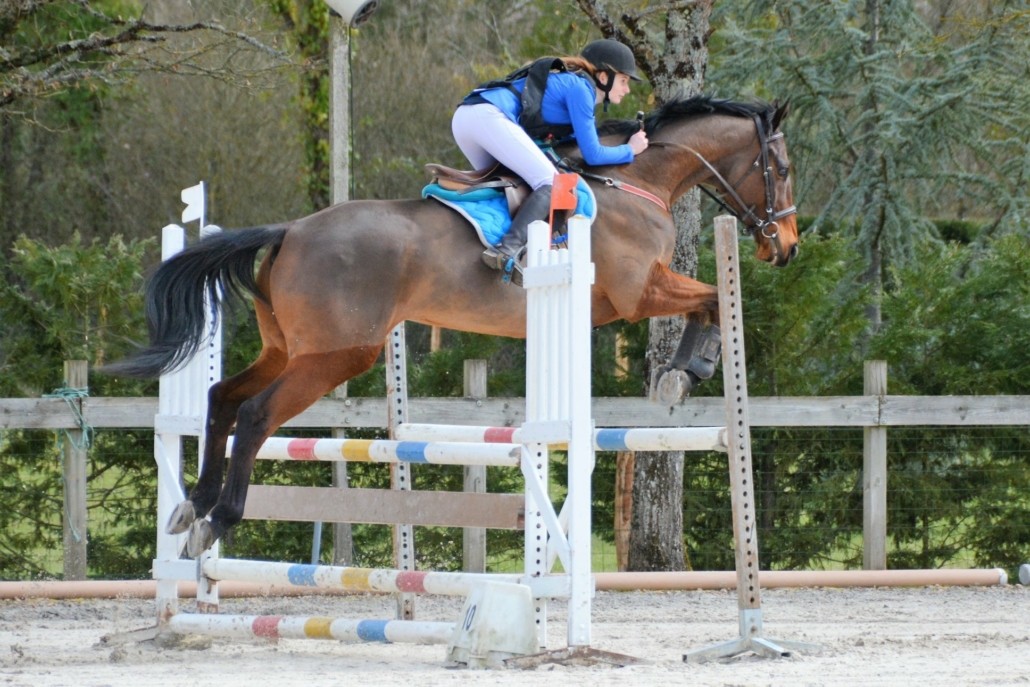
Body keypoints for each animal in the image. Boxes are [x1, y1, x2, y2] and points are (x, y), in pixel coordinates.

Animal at [106, 97, 795, 560]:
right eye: (782, 168)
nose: (785, 247)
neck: (635, 181)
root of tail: (290, 231)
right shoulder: (638, 291)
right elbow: (713, 301)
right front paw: (687, 371)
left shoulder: (636, 292)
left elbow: (709, 302)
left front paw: (685, 372)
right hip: (336, 356)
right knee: (254, 416)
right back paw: (218, 519)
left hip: (287, 349)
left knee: (222, 399)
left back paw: (192, 503)